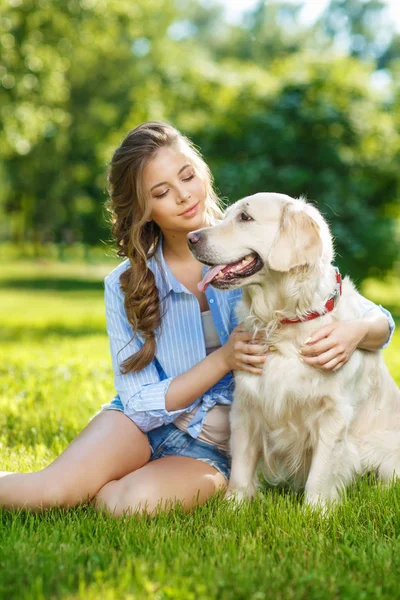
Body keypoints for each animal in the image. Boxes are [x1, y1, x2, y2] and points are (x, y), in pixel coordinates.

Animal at [188, 191, 400, 506]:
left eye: (245, 217)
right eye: (225, 216)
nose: (190, 237)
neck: (285, 320)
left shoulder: (334, 413)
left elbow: (320, 474)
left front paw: (316, 511)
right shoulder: (246, 405)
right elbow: (241, 468)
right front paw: (233, 506)